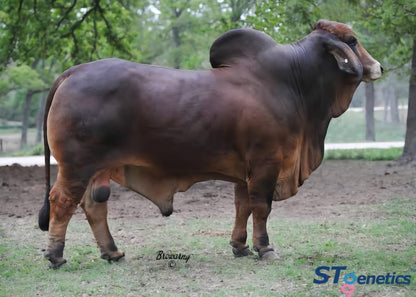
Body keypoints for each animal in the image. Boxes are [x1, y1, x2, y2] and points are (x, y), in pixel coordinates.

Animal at [39, 19, 384, 268]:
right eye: (352, 41)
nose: (378, 66)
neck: (293, 82)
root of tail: (74, 71)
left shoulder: (246, 171)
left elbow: (243, 206)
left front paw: (240, 246)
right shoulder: (266, 163)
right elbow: (262, 206)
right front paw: (265, 248)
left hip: (97, 169)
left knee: (94, 205)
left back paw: (112, 252)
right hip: (76, 166)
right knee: (62, 201)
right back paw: (56, 255)